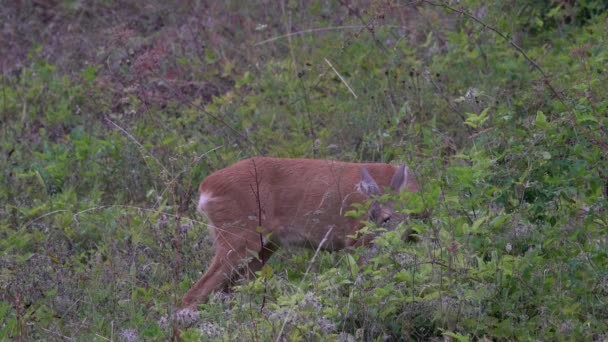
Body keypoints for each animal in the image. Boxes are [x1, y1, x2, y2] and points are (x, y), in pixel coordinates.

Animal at [180, 156, 418, 308]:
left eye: (387, 218)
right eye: (369, 215)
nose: (369, 236)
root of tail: (206, 188)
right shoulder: (355, 242)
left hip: (264, 246)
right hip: (238, 235)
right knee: (194, 294)